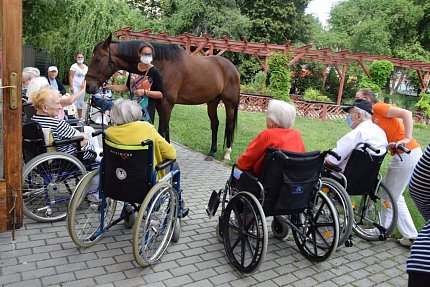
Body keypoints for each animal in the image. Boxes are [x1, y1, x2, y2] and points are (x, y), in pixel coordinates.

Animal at [85, 35, 240, 161]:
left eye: (97, 59)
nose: (88, 86)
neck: (162, 65)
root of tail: (232, 68)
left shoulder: (166, 104)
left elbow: (162, 130)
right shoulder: (161, 104)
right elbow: (166, 131)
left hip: (230, 104)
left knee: (229, 125)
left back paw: (227, 154)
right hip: (212, 102)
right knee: (215, 124)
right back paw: (211, 152)